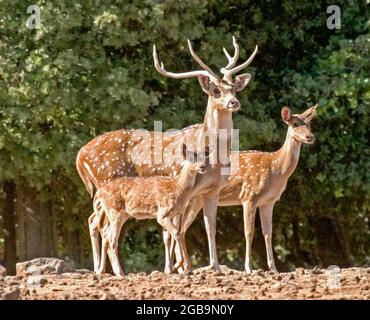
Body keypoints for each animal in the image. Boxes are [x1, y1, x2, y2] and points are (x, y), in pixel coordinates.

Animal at [76, 37, 258, 272]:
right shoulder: (181, 187)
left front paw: (213, 267)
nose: (233, 102)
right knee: (99, 223)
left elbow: (209, 227)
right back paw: (104, 269)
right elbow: (175, 229)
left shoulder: (211, 191)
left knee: (94, 221)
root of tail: (80, 156)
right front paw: (179, 267)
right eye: (215, 90)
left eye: (234, 88)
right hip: (107, 183)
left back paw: (101, 269)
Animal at [173, 104, 318, 272]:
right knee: (178, 228)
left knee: (181, 230)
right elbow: (249, 232)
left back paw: (184, 267)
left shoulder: (269, 201)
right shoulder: (249, 195)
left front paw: (274, 269)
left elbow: (268, 233)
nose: (310, 137)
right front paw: (249, 268)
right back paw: (184, 267)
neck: (276, 168)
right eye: (294, 124)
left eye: (309, 124)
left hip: (197, 200)